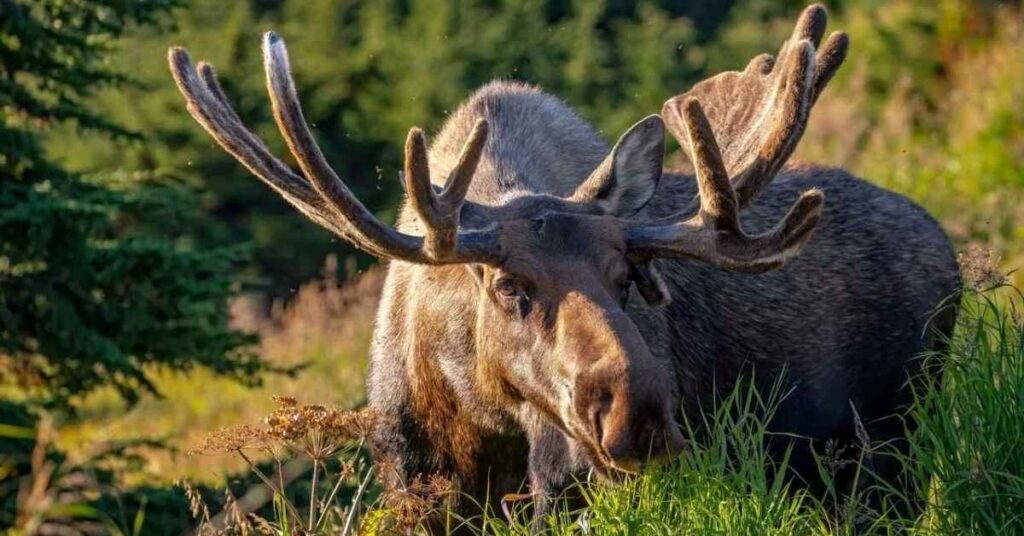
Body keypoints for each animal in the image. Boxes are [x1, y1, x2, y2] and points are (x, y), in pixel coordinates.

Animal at [167, 3, 958, 524]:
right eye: (510, 286)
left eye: (628, 279)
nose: (638, 412)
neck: (474, 421)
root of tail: (947, 246)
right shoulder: (413, 476)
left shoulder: (568, 476)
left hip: (890, 437)